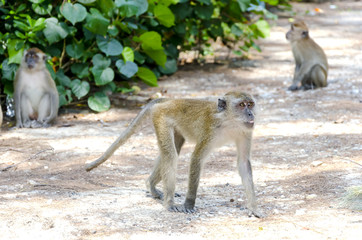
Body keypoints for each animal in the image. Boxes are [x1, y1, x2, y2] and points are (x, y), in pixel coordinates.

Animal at [87, 92, 264, 218]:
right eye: (241, 105)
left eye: (250, 104)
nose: (251, 114)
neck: (229, 121)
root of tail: (171, 101)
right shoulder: (210, 131)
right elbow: (196, 159)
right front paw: (189, 204)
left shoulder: (246, 131)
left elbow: (243, 163)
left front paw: (253, 207)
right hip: (160, 117)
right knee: (171, 155)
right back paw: (169, 202)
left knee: (173, 150)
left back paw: (151, 186)